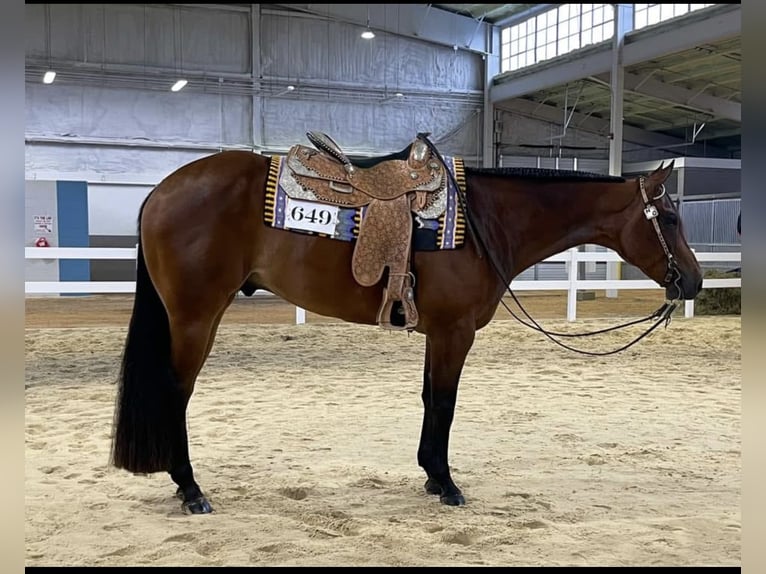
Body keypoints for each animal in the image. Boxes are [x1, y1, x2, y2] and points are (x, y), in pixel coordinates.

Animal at [110, 135, 703, 514]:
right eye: (671, 217)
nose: (694, 282)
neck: (485, 220)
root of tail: (162, 191)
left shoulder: (436, 333)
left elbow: (428, 400)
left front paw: (430, 476)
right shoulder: (454, 332)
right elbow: (444, 403)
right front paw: (446, 483)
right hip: (195, 317)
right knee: (175, 393)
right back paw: (190, 490)